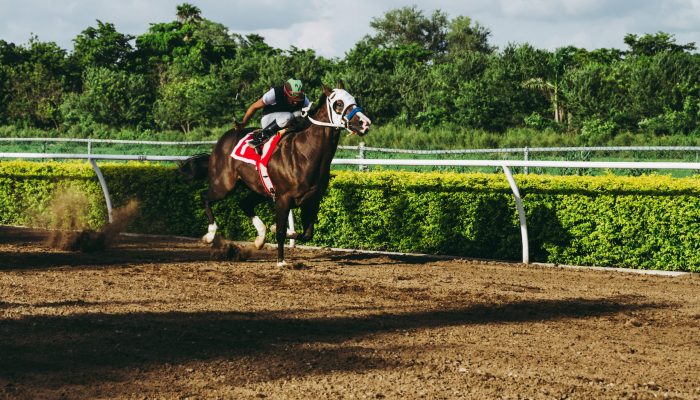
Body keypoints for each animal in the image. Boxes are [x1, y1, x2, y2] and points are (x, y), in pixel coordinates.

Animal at [183, 84, 374, 266]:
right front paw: (281, 260)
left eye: (354, 99)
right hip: (224, 184)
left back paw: (260, 237)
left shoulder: (312, 200)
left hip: (259, 189)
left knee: (244, 203)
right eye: (338, 104)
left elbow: (306, 234)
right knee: (205, 196)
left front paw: (275, 229)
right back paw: (210, 234)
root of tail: (224, 139)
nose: (365, 123)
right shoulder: (283, 198)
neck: (306, 153)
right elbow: (282, 232)